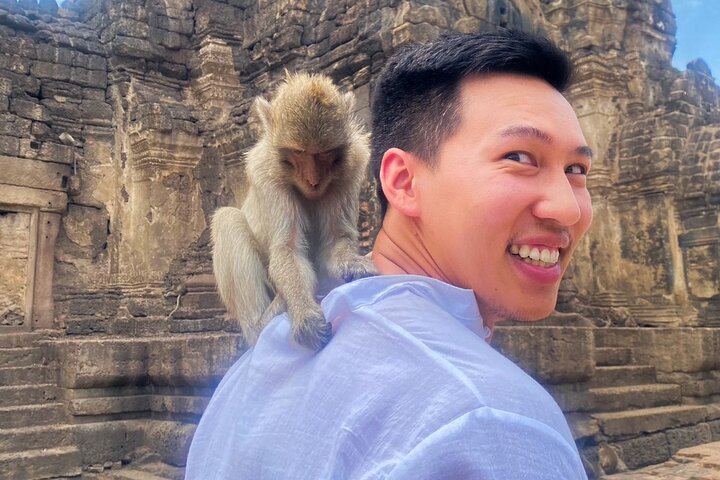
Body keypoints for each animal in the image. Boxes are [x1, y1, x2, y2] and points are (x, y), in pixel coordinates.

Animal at [211, 72, 376, 350]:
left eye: (324, 153)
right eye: (299, 152)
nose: (313, 180)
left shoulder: (351, 168)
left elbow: (336, 241)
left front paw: (352, 264)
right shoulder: (266, 174)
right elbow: (286, 248)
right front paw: (304, 314)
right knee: (227, 220)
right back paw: (262, 322)